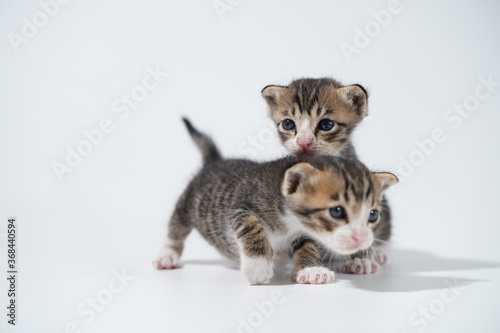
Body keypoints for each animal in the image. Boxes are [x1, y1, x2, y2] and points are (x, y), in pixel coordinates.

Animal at [150, 118, 396, 282]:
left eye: (372, 215)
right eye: (337, 211)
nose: (362, 238)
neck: (290, 221)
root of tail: (215, 161)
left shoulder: (309, 232)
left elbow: (309, 246)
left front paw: (310, 270)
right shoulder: (240, 207)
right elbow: (251, 226)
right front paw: (257, 265)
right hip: (187, 202)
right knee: (176, 227)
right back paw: (167, 255)